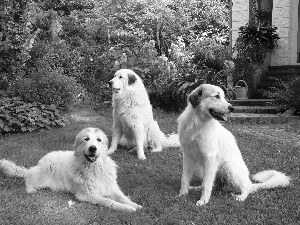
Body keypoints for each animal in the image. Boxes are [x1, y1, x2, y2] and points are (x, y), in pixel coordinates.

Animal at [0, 127, 142, 212]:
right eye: (86, 139)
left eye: (99, 140)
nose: (93, 148)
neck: (94, 169)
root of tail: (41, 161)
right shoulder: (85, 195)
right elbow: (108, 201)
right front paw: (126, 208)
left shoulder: (112, 188)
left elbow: (122, 197)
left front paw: (135, 205)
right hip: (43, 173)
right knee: (28, 178)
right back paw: (30, 189)